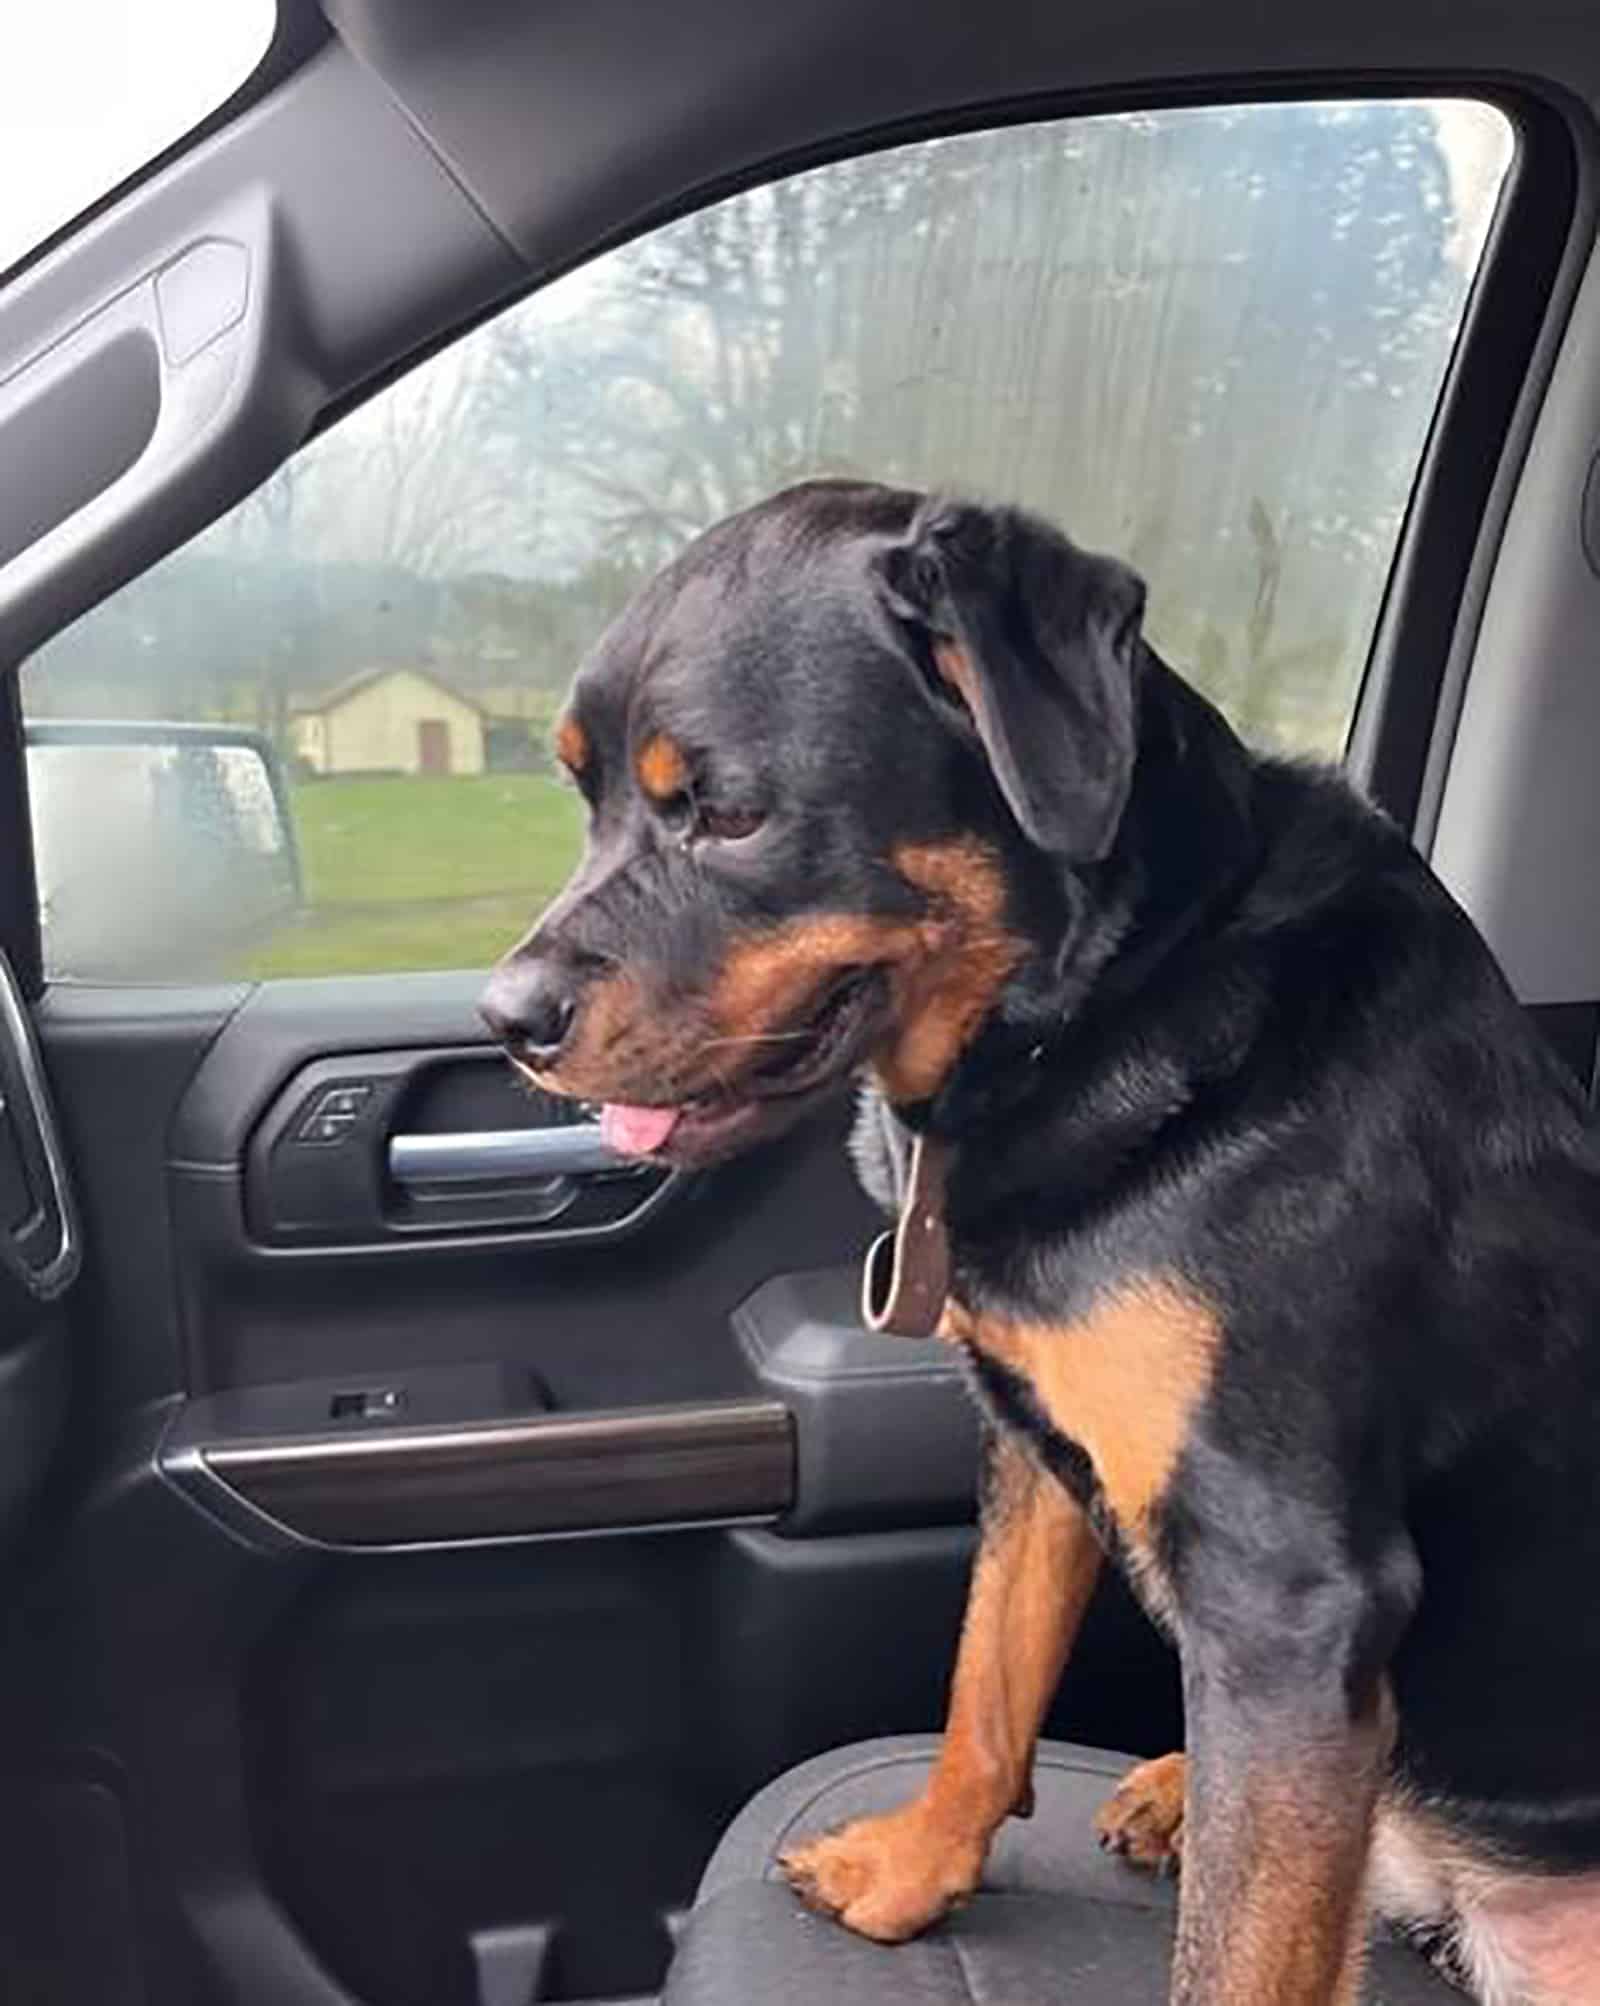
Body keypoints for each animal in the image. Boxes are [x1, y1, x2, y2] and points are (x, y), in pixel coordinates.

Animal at [483, 477, 1600, 1997]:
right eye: (579, 789)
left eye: (725, 810)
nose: (504, 1017)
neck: (1116, 993)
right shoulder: (1030, 1439)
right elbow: (988, 1675)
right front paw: (912, 1869)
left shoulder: (1290, 1585)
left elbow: (1234, 1954)